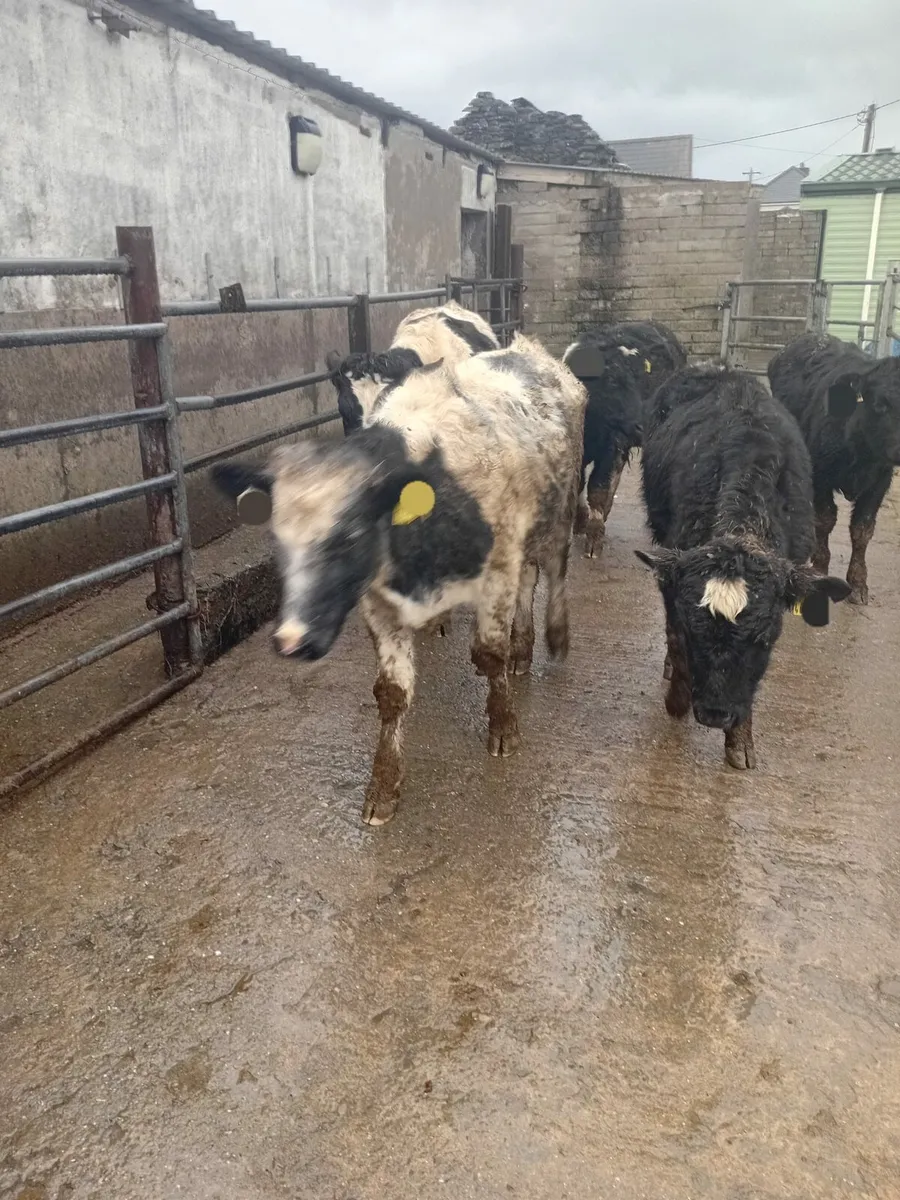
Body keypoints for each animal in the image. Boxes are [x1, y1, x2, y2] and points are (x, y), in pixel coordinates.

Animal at [211, 334, 586, 825]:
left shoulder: (497, 571)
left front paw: (504, 726)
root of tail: (531, 350)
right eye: (278, 538)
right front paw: (383, 785)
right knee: (530, 580)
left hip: (561, 511)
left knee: (555, 570)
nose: (292, 640)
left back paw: (553, 637)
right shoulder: (378, 602)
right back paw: (524, 647)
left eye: (351, 534)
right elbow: (391, 693)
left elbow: (489, 655)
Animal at [563, 319, 687, 557]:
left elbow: (598, 488)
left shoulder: (612, 446)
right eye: (612, 382)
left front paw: (594, 537)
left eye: (647, 383)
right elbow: (580, 484)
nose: (643, 426)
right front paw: (580, 522)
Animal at [636, 364, 851, 770]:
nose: (715, 714)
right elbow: (674, 640)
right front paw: (677, 699)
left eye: (764, 639)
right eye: (693, 631)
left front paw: (740, 740)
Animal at [768, 332, 900, 605]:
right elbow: (825, 520)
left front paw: (858, 583)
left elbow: (862, 530)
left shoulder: (879, 482)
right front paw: (820, 572)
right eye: (880, 404)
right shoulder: (820, 476)